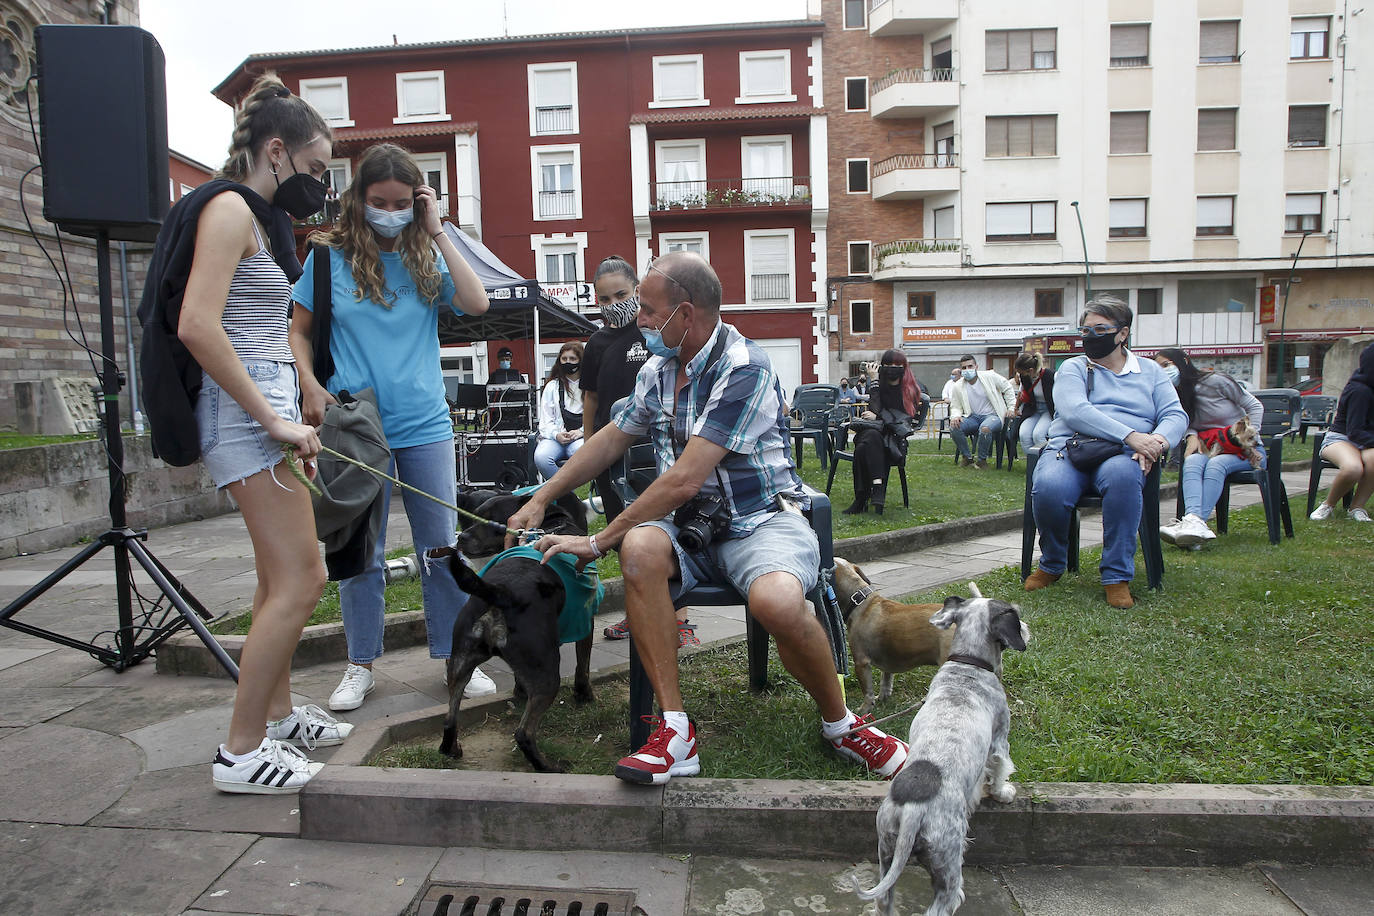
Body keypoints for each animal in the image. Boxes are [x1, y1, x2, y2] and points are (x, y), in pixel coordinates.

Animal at [428, 486, 596, 774]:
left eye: (493, 522)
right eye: (469, 519)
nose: (461, 538)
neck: (552, 525)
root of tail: (499, 593)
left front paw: (519, 692)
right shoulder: (585, 621)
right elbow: (582, 666)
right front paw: (584, 695)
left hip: (460, 661)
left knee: (450, 718)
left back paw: (451, 750)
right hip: (547, 673)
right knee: (524, 734)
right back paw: (548, 767)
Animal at [829, 560, 950, 714]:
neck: (860, 602)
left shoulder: (861, 662)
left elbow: (867, 691)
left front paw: (864, 710)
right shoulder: (887, 662)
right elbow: (885, 681)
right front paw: (882, 698)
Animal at [846, 587, 1033, 916]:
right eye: (1015, 615)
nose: (1026, 629)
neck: (968, 666)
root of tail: (913, 811)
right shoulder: (1000, 739)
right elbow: (1000, 767)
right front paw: (1004, 792)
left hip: (886, 850)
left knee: (884, 899)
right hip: (947, 863)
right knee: (944, 901)